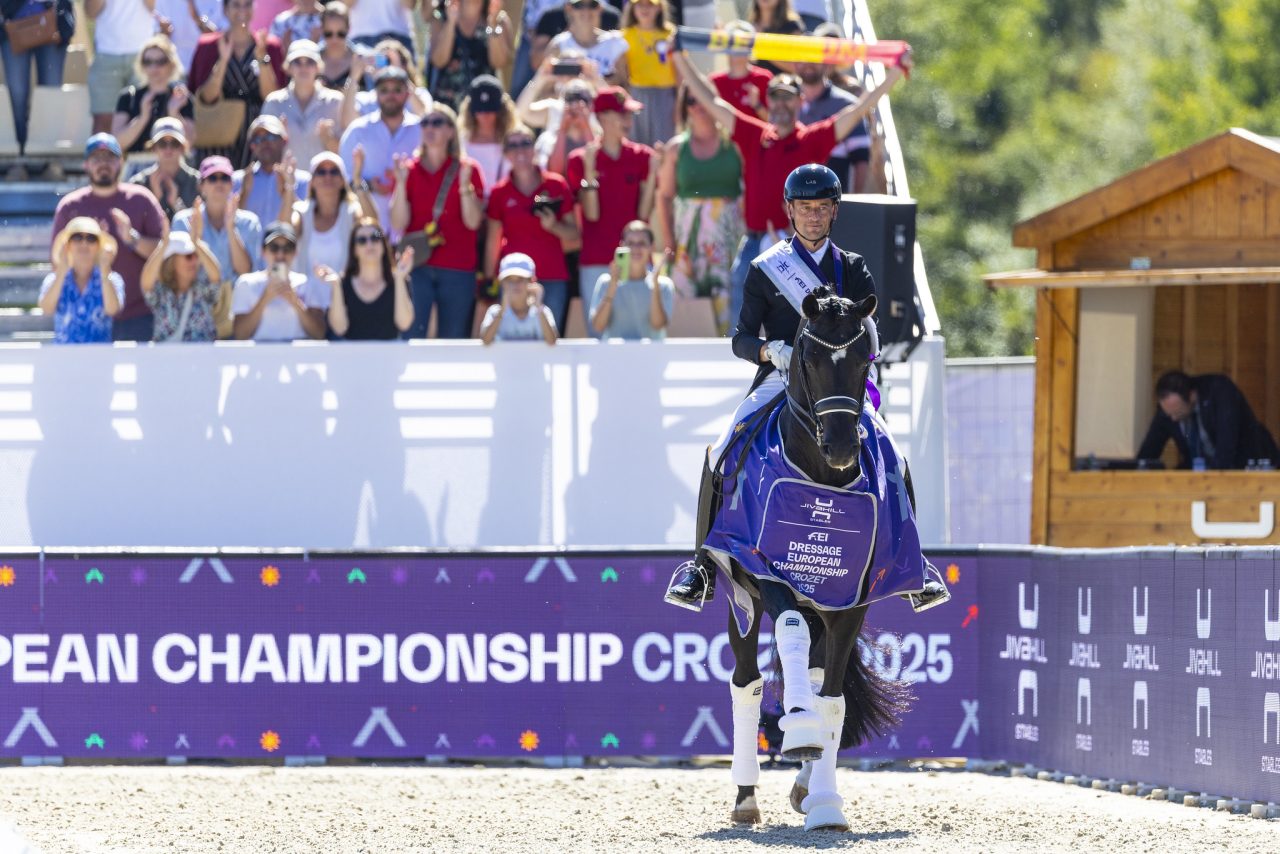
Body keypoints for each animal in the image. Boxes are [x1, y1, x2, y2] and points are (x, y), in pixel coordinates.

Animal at [701, 287, 920, 831]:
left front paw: (824, 802)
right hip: (740, 599)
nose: (841, 447)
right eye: (809, 357)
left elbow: (834, 702)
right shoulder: (765, 571)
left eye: (865, 359)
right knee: (747, 684)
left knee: (818, 677)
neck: (821, 478)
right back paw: (746, 797)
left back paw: (804, 783)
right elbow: (790, 632)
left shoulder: (855, 597)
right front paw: (798, 729)